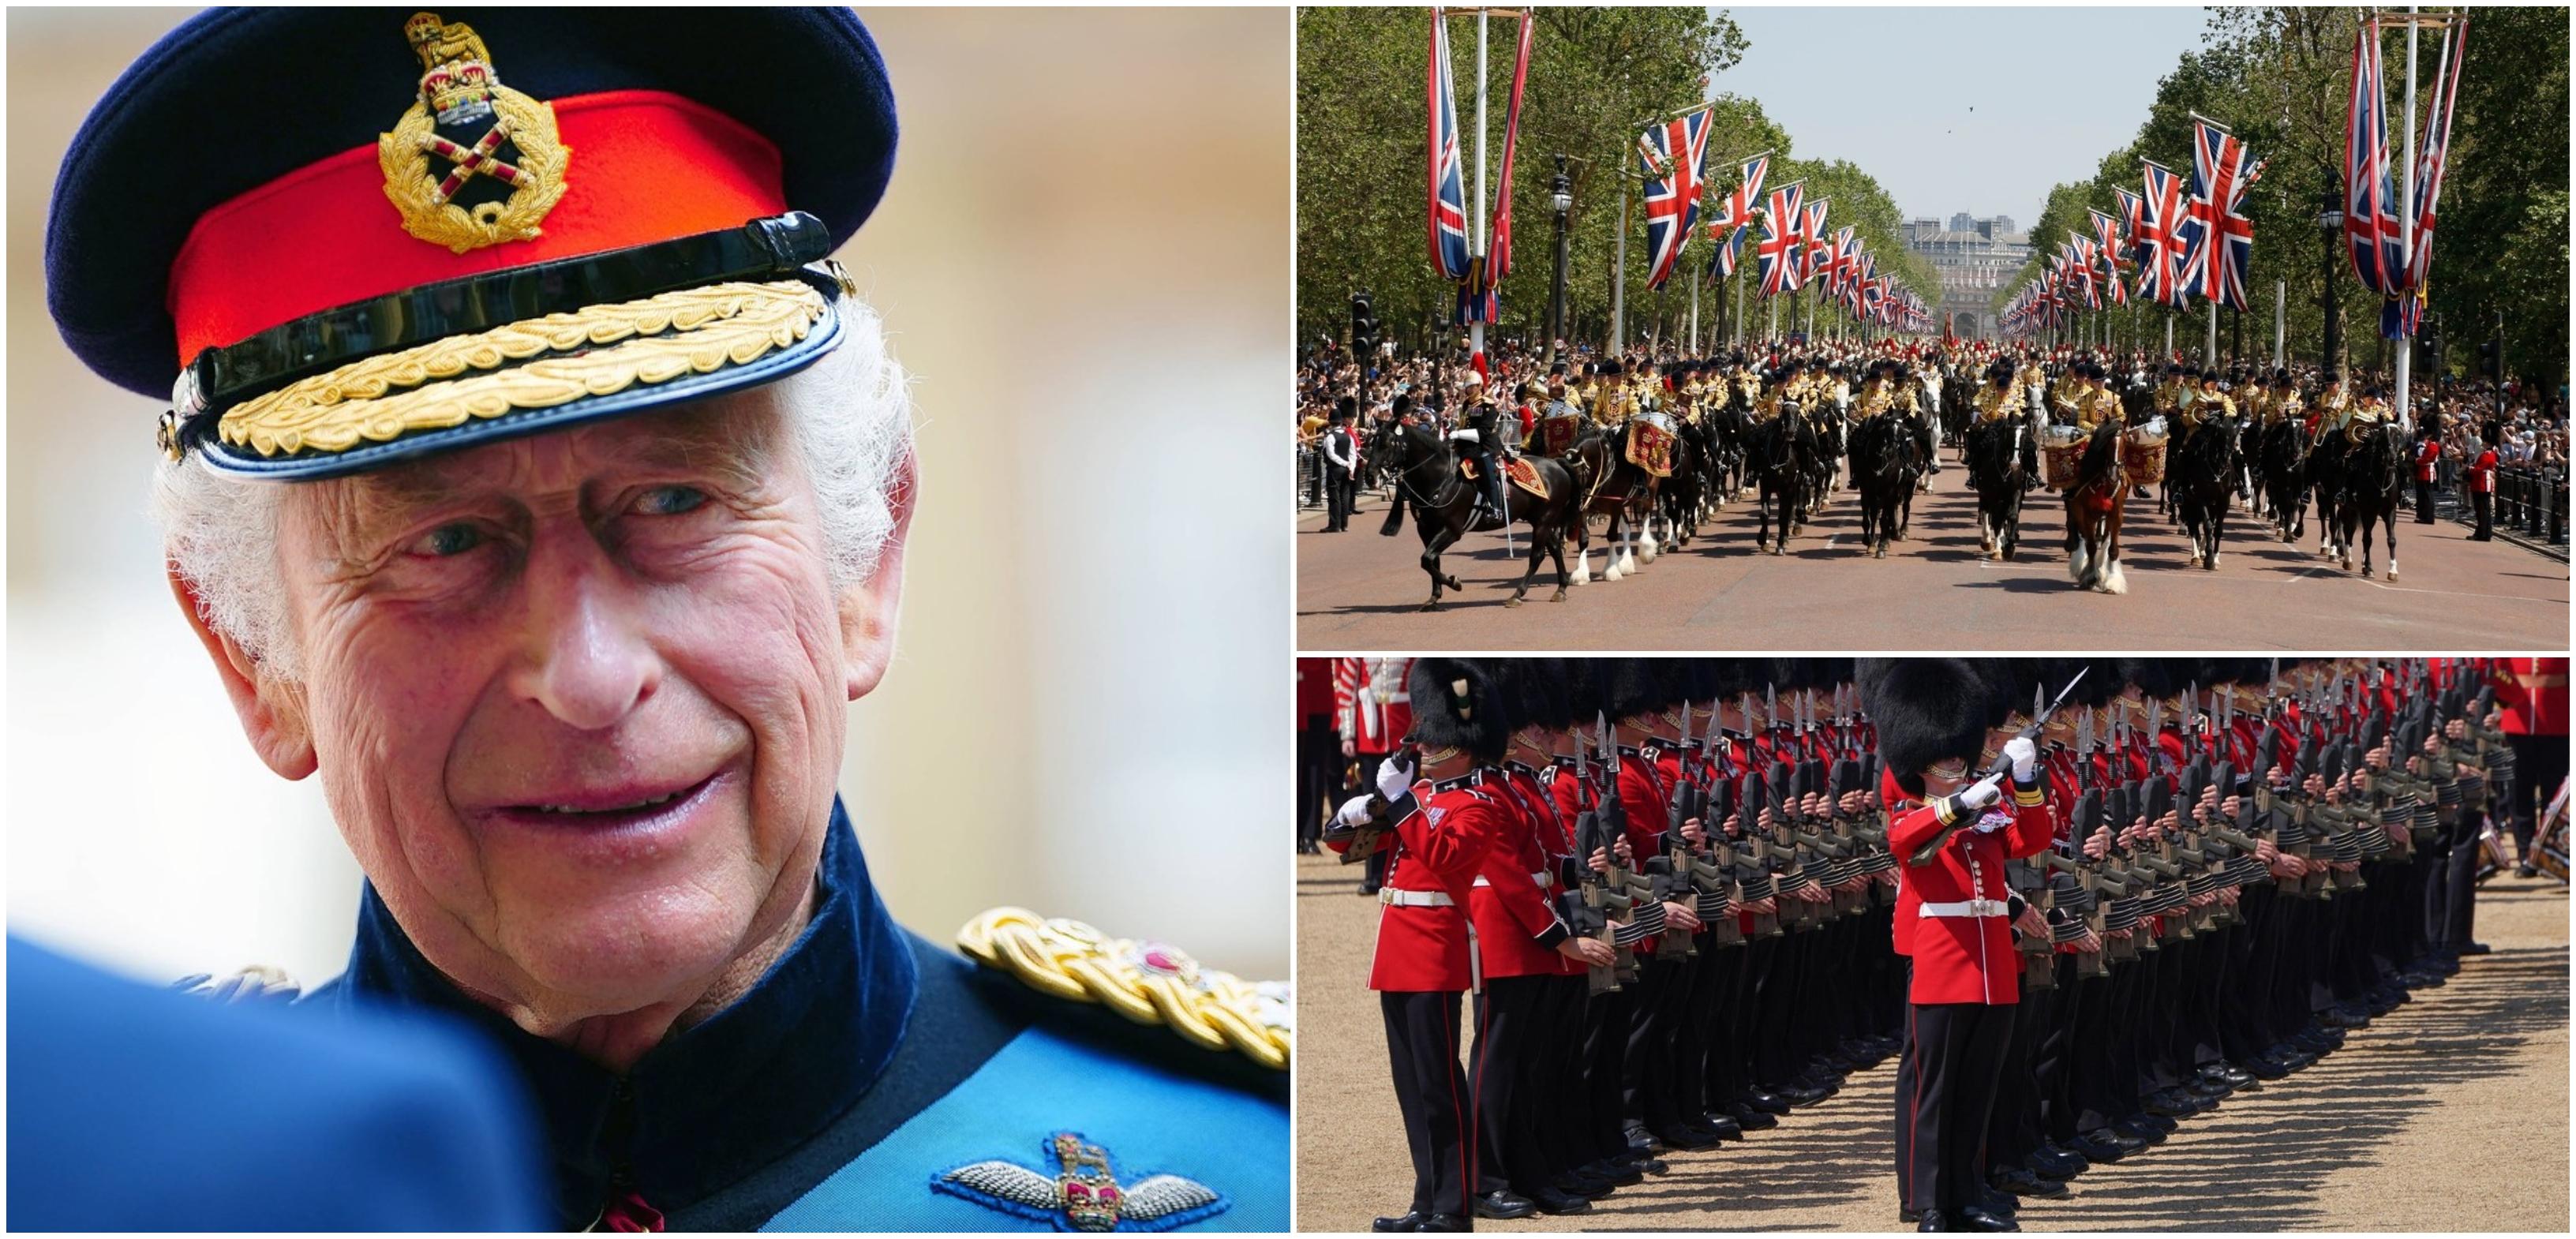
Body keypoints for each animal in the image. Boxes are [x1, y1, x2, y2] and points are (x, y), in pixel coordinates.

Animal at [1380, 417, 1576, 605]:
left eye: (1389, 443)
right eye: (1374, 440)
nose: (1374, 474)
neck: (1441, 478)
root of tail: (1557, 463)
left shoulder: (1452, 530)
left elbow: (1427, 559)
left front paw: (1454, 582)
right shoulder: (1425, 528)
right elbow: (1431, 560)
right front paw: (1435, 596)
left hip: (1544, 519)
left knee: (1537, 555)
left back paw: (1517, 594)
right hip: (1538, 519)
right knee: (1555, 548)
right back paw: (1561, 589)